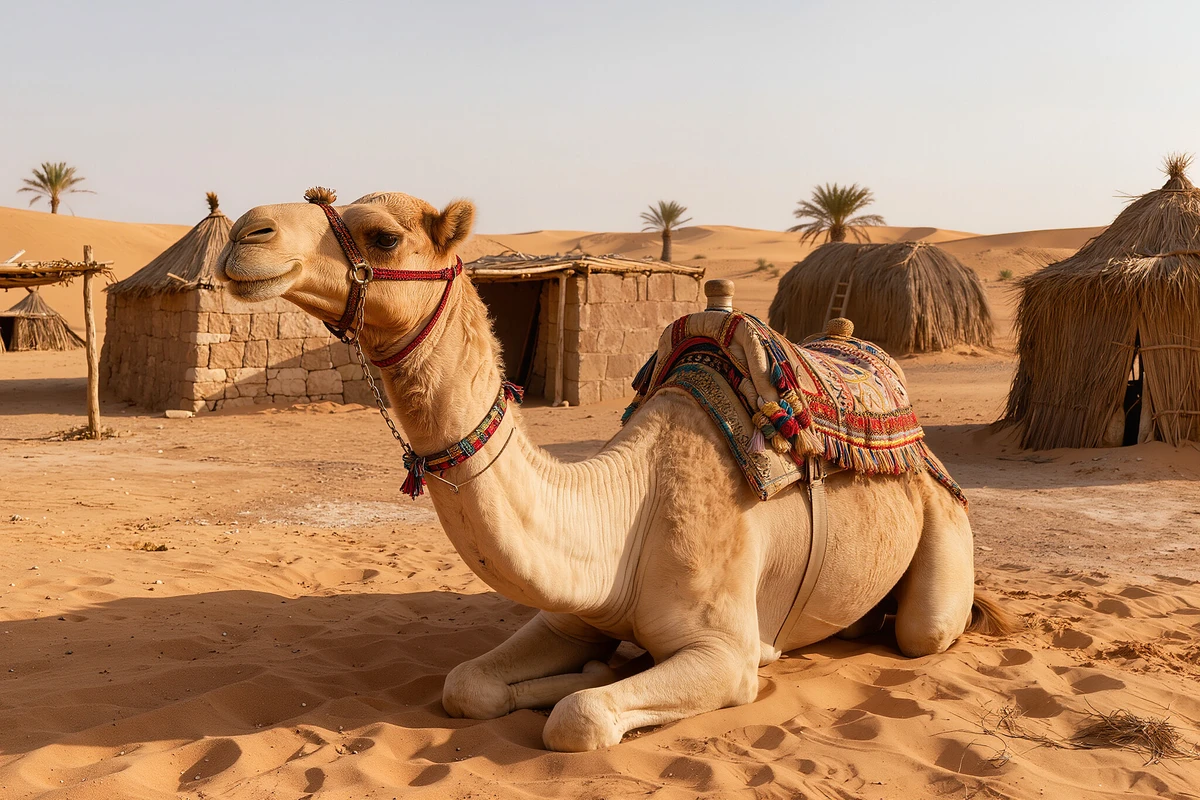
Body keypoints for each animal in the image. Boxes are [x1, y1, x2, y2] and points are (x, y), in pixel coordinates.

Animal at [218, 190, 1010, 752]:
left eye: (383, 234)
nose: (245, 232)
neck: (628, 505)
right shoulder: (575, 612)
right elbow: (466, 685)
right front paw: (595, 667)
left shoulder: (725, 654)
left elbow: (581, 718)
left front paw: (596, 683)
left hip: (943, 528)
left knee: (926, 629)